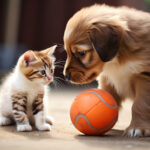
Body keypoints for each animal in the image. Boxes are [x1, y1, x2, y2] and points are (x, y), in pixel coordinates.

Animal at [63, 3, 150, 137]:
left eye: (81, 53)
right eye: (67, 52)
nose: (66, 76)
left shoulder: (144, 76)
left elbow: (140, 105)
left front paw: (137, 127)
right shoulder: (108, 79)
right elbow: (109, 95)